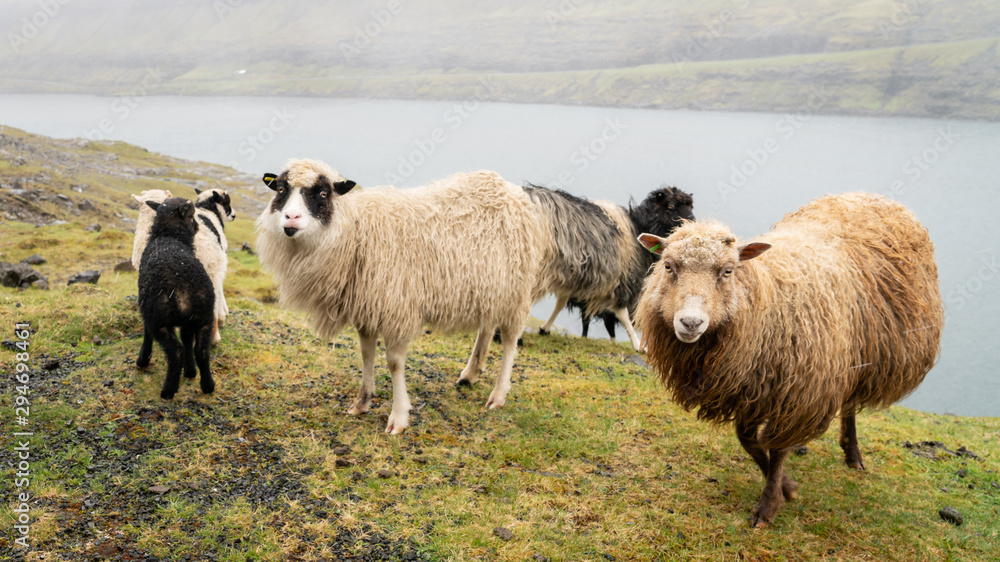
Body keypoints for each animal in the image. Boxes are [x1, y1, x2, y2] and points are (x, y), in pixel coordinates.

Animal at [136, 197, 216, 400]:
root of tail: (183, 287)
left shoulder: (147, 312)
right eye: (192, 216)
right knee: (201, 350)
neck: (168, 236)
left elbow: (146, 334)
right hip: (205, 317)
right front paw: (190, 371)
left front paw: (142, 360)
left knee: (176, 352)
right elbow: (188, 339)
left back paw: (168, 390)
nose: (197, 226)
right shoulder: (189, 321)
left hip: (159, 319)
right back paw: (207, 385)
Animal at [255, 159, 544, 434]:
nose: (291, 217)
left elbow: (394, 363)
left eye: (323, 193)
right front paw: (362, 402)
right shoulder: (367, 309)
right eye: (280, 190)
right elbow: (366, 354)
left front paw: (398, 417)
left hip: (516, 290)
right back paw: (470, 374)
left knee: (509, 340)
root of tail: (508, 189)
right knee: (487, 327)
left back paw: (498, 395)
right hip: (491, 288)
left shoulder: (396, 308)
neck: (356, 235)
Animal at [525, 184, 693, 350]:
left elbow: (561, 302)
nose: (691, 224)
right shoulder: (621, 278)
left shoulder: (572, 275)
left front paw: (544, 328)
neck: (637, 227)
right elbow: (621, 313)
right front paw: (637, 345)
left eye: (691, 206)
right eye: (671, 205)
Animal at [635, 192, 943, 527]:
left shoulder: (798, 393)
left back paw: (853, 454)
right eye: (668, 266)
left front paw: (770, 504)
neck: (768, 302)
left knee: (849, 405)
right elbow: (749, 441)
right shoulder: (751, 387)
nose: (690, 323)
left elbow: (778, 447)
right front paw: (785, 485)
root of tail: (868, 195)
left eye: (728, 271)